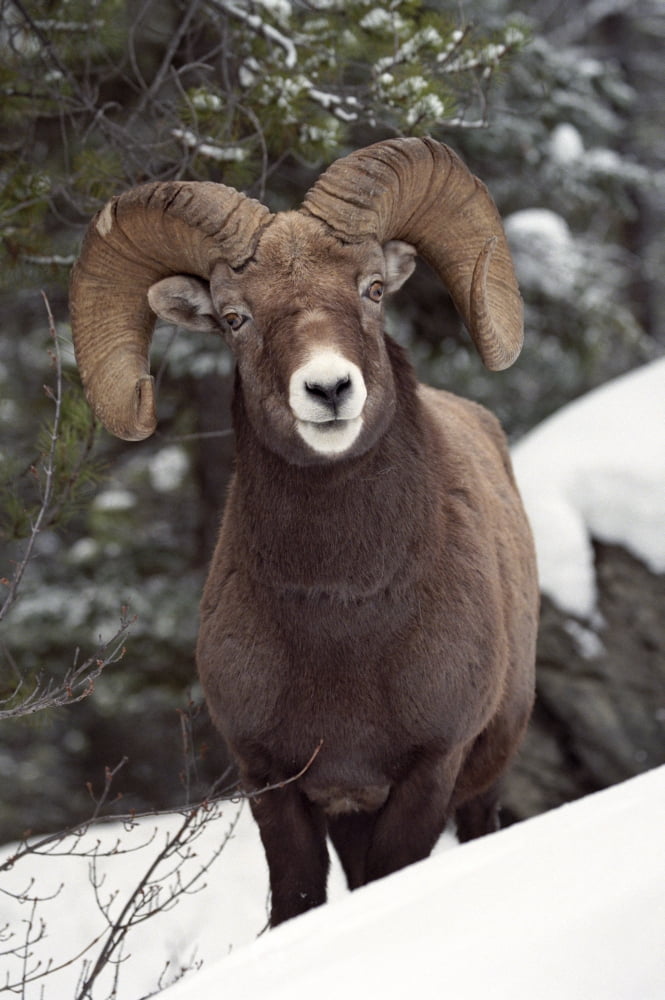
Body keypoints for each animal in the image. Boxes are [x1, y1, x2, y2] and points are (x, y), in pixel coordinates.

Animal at [69, 137, 539, 927]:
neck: (343, 618)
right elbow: (297, 899)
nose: (328, 389)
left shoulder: (428, 773)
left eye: (372, 289)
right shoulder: (275, 784)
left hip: (484, 779)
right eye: (235, 317)